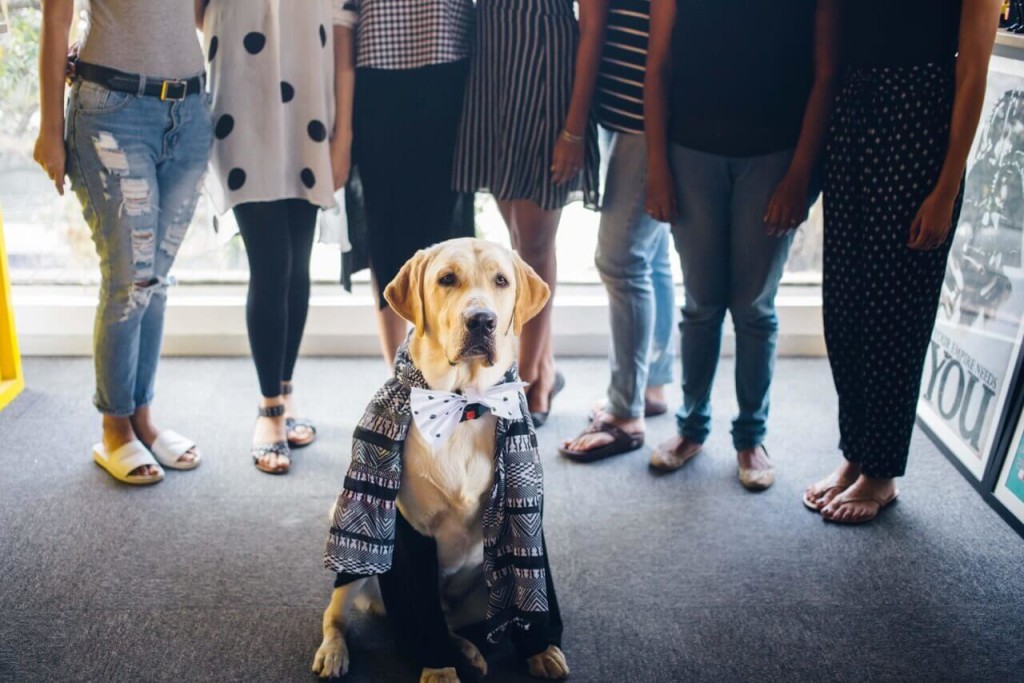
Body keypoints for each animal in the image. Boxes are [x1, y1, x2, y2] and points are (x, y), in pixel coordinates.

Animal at [311, 239, 569, 683]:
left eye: (501, 281)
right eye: (447, 279)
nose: (481, 320)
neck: (464, 405)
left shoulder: (526, 514)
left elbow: (534, 587)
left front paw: (541, 649)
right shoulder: (412, 534)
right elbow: (424, 619)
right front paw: (438, 668)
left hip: (483, 590)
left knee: (456, 623)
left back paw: (469, 649)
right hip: (358, 569)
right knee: (339, 613)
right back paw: (334, 650)